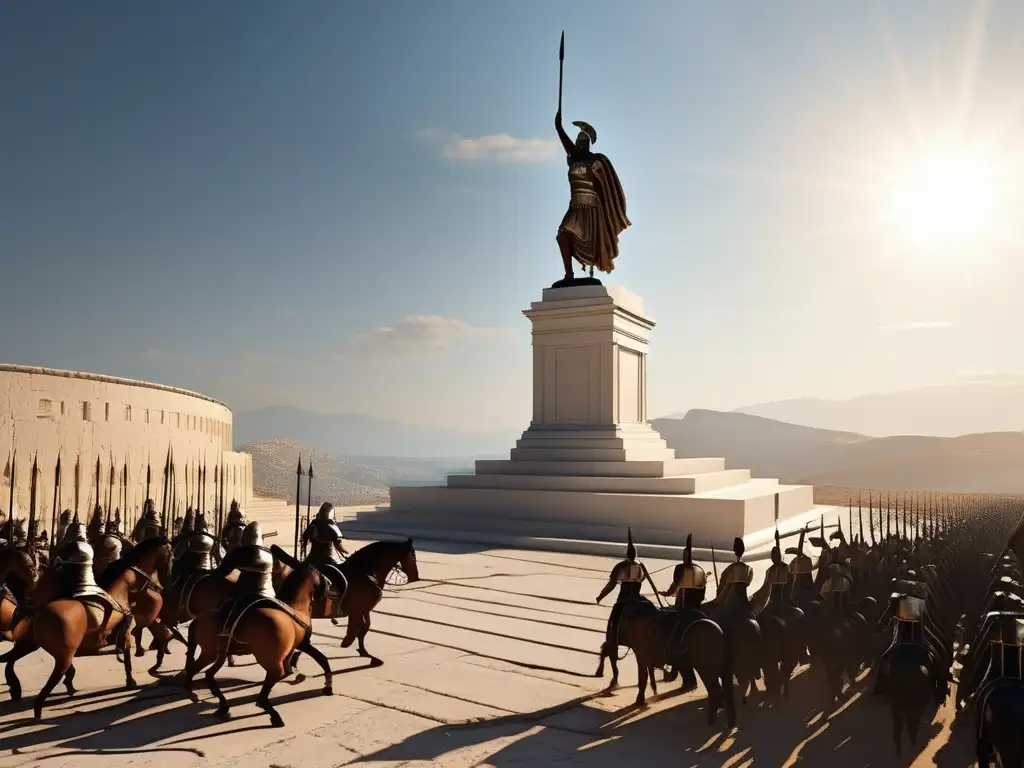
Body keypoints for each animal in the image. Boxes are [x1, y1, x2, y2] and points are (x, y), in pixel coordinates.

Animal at [0, 536, 172, 720]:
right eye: (170, 553)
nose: (161, 585)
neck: (121, 590)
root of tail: (39, 611)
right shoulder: (126, 632)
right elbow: (126, 656)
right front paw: (130, 681)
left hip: (31, 644)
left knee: (12, 660)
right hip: (62, 654)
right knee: (53, 675)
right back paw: (38, 706)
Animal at [182, 548, 329, 729]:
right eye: (321, 575)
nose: (326, 593)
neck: (296, 608)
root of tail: (199, 619)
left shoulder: (296, 647)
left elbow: (303, 662)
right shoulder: (303, 644)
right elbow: (321, 659)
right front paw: (327, 685)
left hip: (212, 653)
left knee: (202, 673)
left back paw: (215, 704)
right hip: (223, 654)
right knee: (256, 693)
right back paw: (271, 714)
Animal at [274, 536, 417, 667]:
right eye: (413, 555)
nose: (415, 577)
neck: (364, 571)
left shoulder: (362, 610)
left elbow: (364, 627)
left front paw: (360, 649)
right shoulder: (357, 610)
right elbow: (361, 628)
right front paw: (354, 645)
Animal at [593, 602, 737, 729]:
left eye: (613, 622)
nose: (605, 645)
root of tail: (720, 632)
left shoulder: (640, 647)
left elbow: (643, 675)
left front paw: (639, 701)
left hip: (706, 658)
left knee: (714, 687)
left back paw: (711, 720)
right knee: (725, 687)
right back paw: (728, 723)